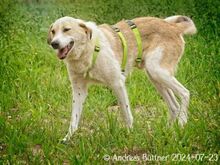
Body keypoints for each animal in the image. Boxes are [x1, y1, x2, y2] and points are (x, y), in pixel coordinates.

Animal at [47, 15, 197, 142]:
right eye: (53, 31)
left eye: (66, 29)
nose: (54, 43)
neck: (87, 51)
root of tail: (173, 26)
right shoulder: (79, 91)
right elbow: (74, 119)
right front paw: (67, 139)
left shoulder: (117, 83)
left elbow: (126, 113)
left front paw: (130, 134)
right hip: (154, 76)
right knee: (174, 106)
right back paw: (169, 131)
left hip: (157, 71)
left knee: (185, 93)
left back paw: (182, 123)